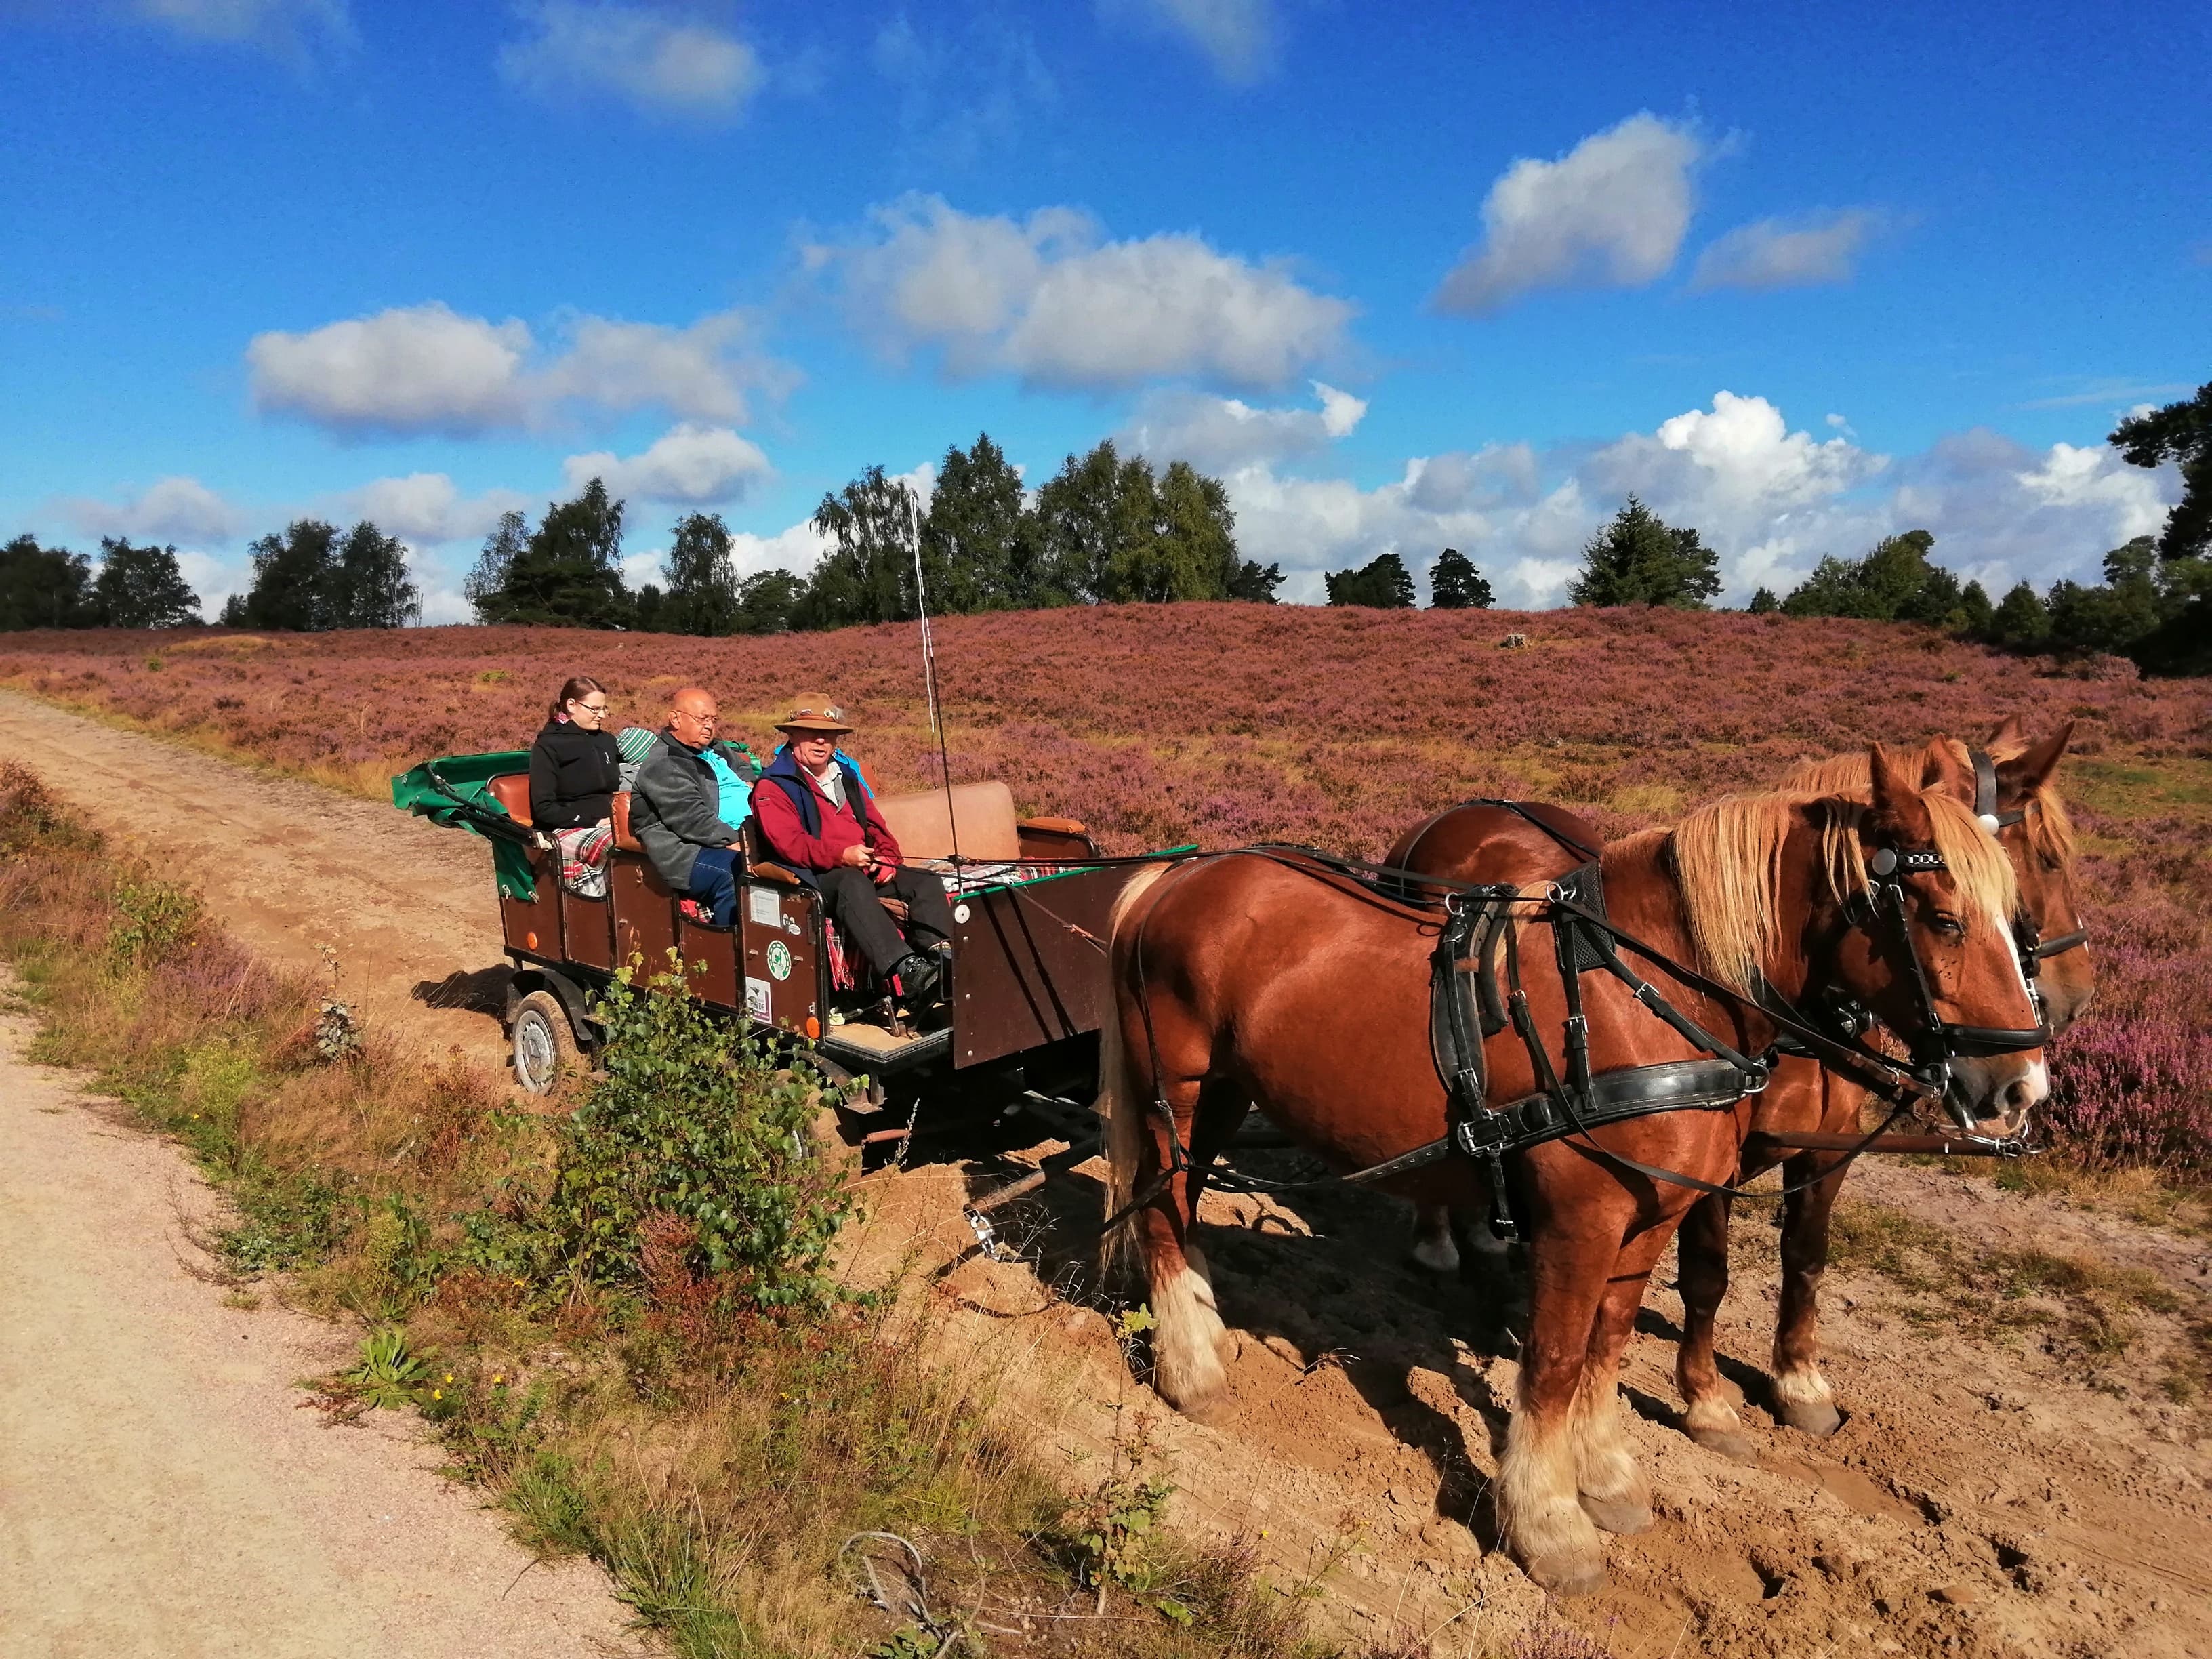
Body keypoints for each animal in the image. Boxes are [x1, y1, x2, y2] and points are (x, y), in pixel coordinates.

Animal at [1097, 747, 2043, 1593]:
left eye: (2020, 918)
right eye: (1942, 917)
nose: (2020, 1086)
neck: (1643, 1000)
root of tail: (1174, 877)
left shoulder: (1652, 1219)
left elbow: (1609, 1344)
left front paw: (1608, 1478)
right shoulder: (1578, 1223)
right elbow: (1552, 1361)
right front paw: (1548, 1525)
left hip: (1223, 1091)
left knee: (1183, 1201)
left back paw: (1201, 1329)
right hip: (1175, 1089)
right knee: (1160, 1208)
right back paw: (1192, 1372)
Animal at [1389, 721, 2097, 1460]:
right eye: (2045, 860)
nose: (2071, 1004)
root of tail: (1469, 809)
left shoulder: (1826, 1153)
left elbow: (1806, 1259)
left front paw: (1799, 1381)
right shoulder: (1712, 1167)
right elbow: (1708, 1275)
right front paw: (1705, 1400)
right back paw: (1438, 1239)